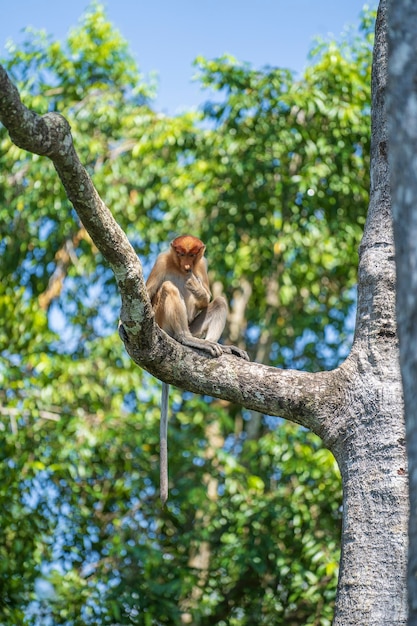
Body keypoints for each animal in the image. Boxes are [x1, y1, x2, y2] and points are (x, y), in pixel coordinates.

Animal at [146, 234, 249, 502]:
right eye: (181, 254)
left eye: (192, 256)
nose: (186, 267)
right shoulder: (162, 260)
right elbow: (150, 291)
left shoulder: (203, 265)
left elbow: (209, 296)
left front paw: (197, 287)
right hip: (162, 321)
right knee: (168, 288)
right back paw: (186, 339)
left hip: (195, 325)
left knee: (219, 301)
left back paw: (216, 346)